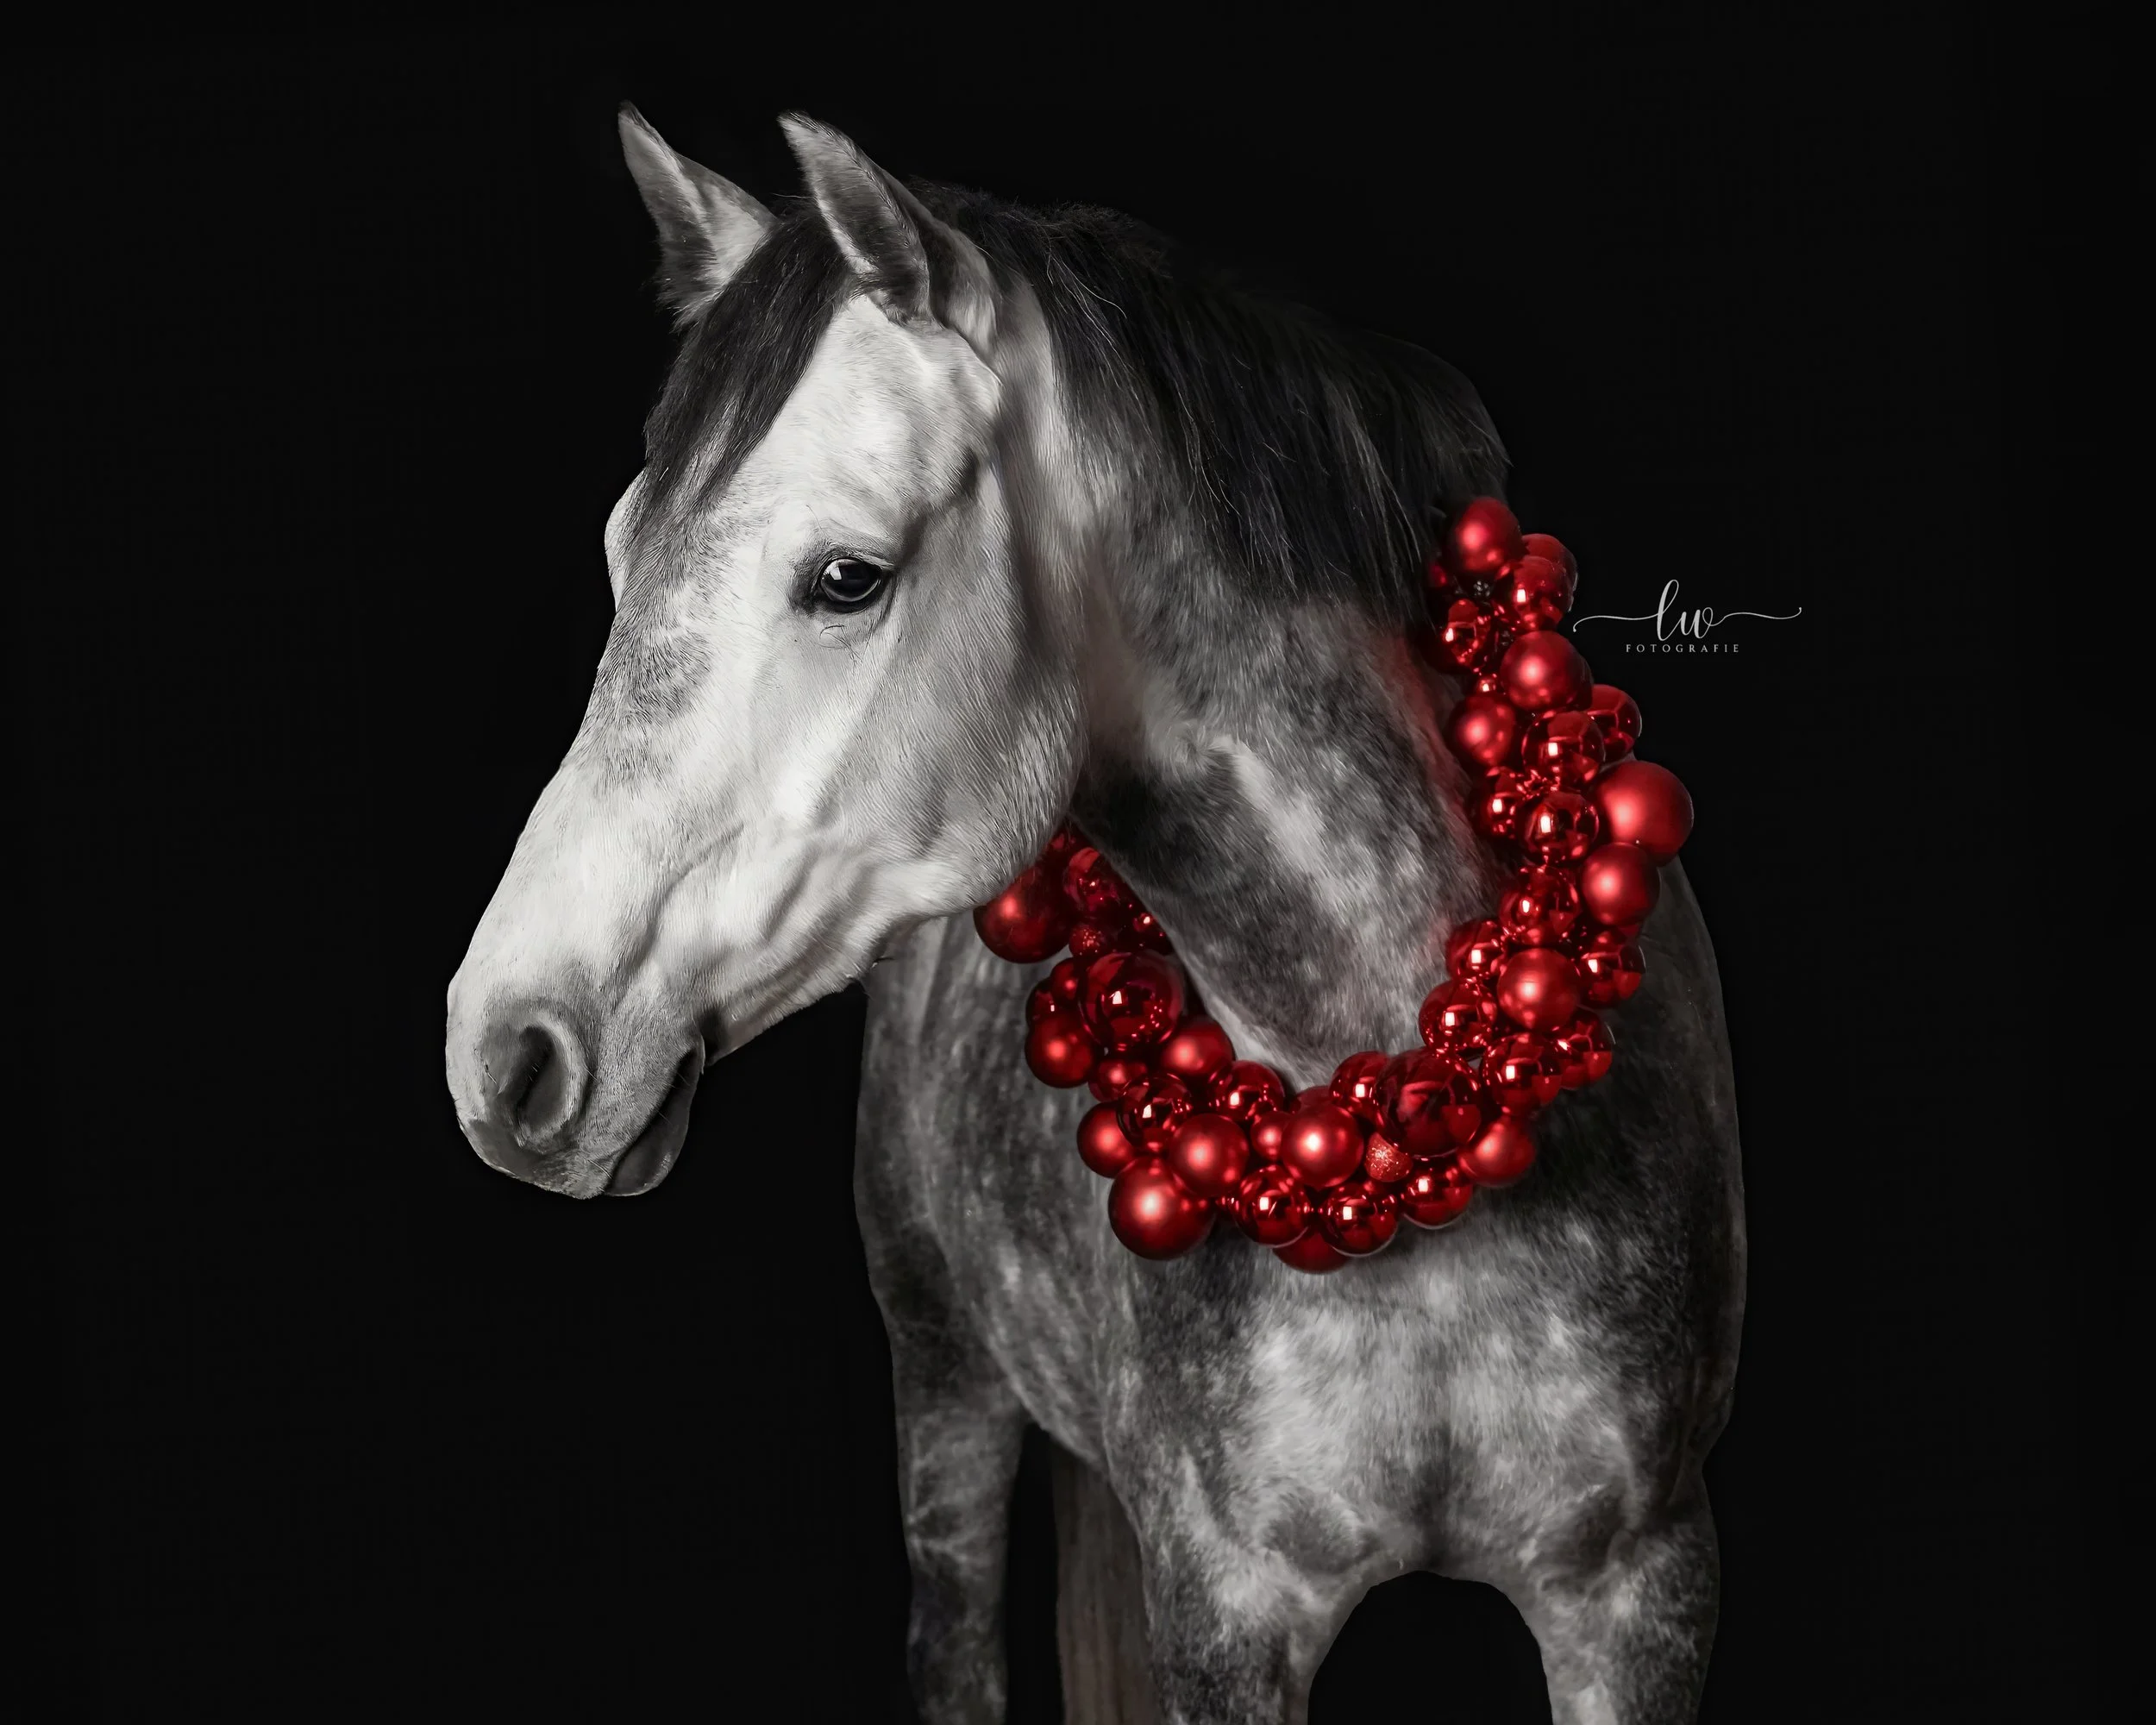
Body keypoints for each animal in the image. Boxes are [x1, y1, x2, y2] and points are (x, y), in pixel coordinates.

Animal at [444, 105, 1746, 1725]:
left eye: (845, 577)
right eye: (626, 555)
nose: (506, 1050)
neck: (1410, 1098)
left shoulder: (1640, 1595)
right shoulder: (1222, 1608)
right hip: (946, 1392)